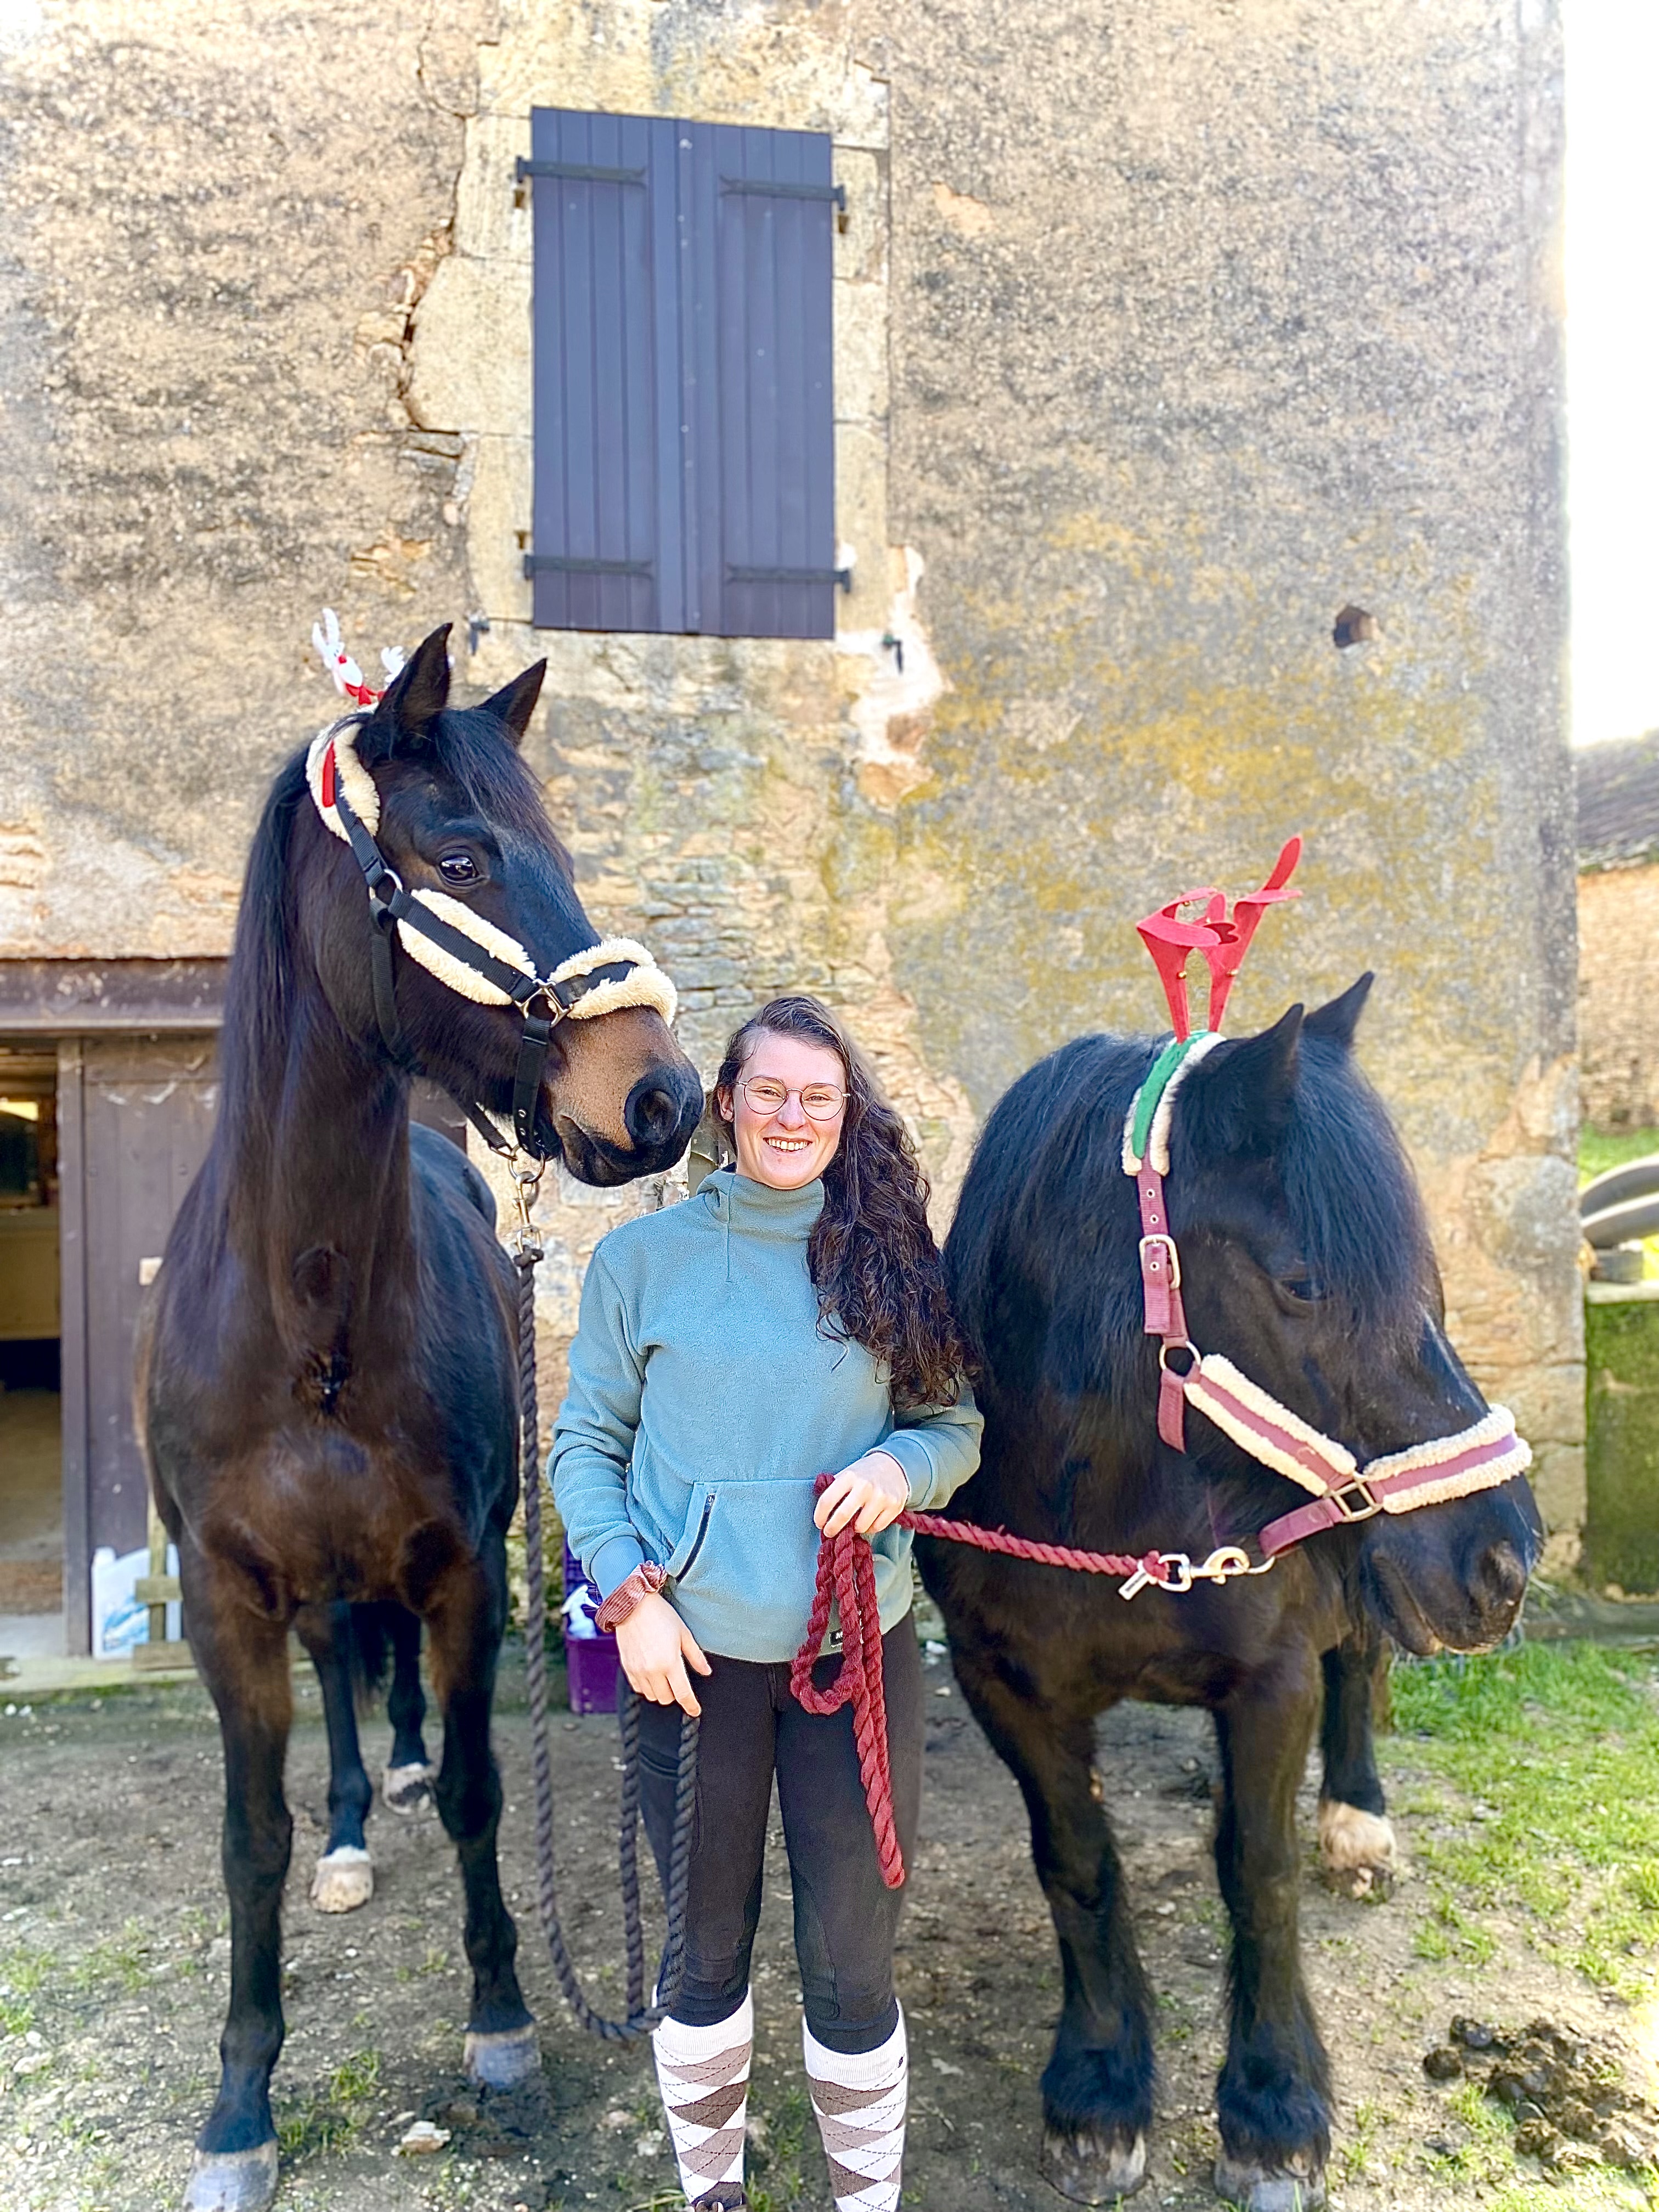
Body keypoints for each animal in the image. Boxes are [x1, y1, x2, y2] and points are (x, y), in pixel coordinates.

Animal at [142, 627, 705, 2212]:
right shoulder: (226, 1597)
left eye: (562, 851)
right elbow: (250, 1842)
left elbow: (472, 1790)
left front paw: (504, 2021)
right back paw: (349, 1814)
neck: (311, 1317)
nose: (662, 1095)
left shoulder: (462, 1569)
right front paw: (239, 2107)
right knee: (343, 1670)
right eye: (458, 856)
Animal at [920, 977, 1540, 2212]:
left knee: (1361, 1663)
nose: (1504, 1560)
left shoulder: (1272, 1677)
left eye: (1422, 1284)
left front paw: (1273, 2106)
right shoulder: (1001, 1683)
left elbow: (1258, 1870)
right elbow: (1076, 1862)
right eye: (1301, 1281)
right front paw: (1100, 2085)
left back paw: (1355, 1819)